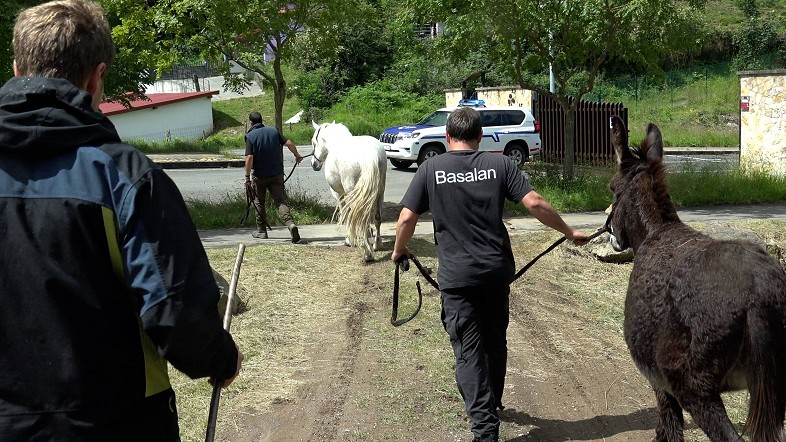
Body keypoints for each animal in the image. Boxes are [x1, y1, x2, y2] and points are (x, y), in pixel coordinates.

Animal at [310, 120, 388, 262]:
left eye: (314, 142)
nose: (314, 164)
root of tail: (369, 156)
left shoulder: (339, 194)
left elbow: (346, 214)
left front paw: (348, 240)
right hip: (380, 192)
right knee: (376, 217)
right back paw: (376, 245)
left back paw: (367, 254)